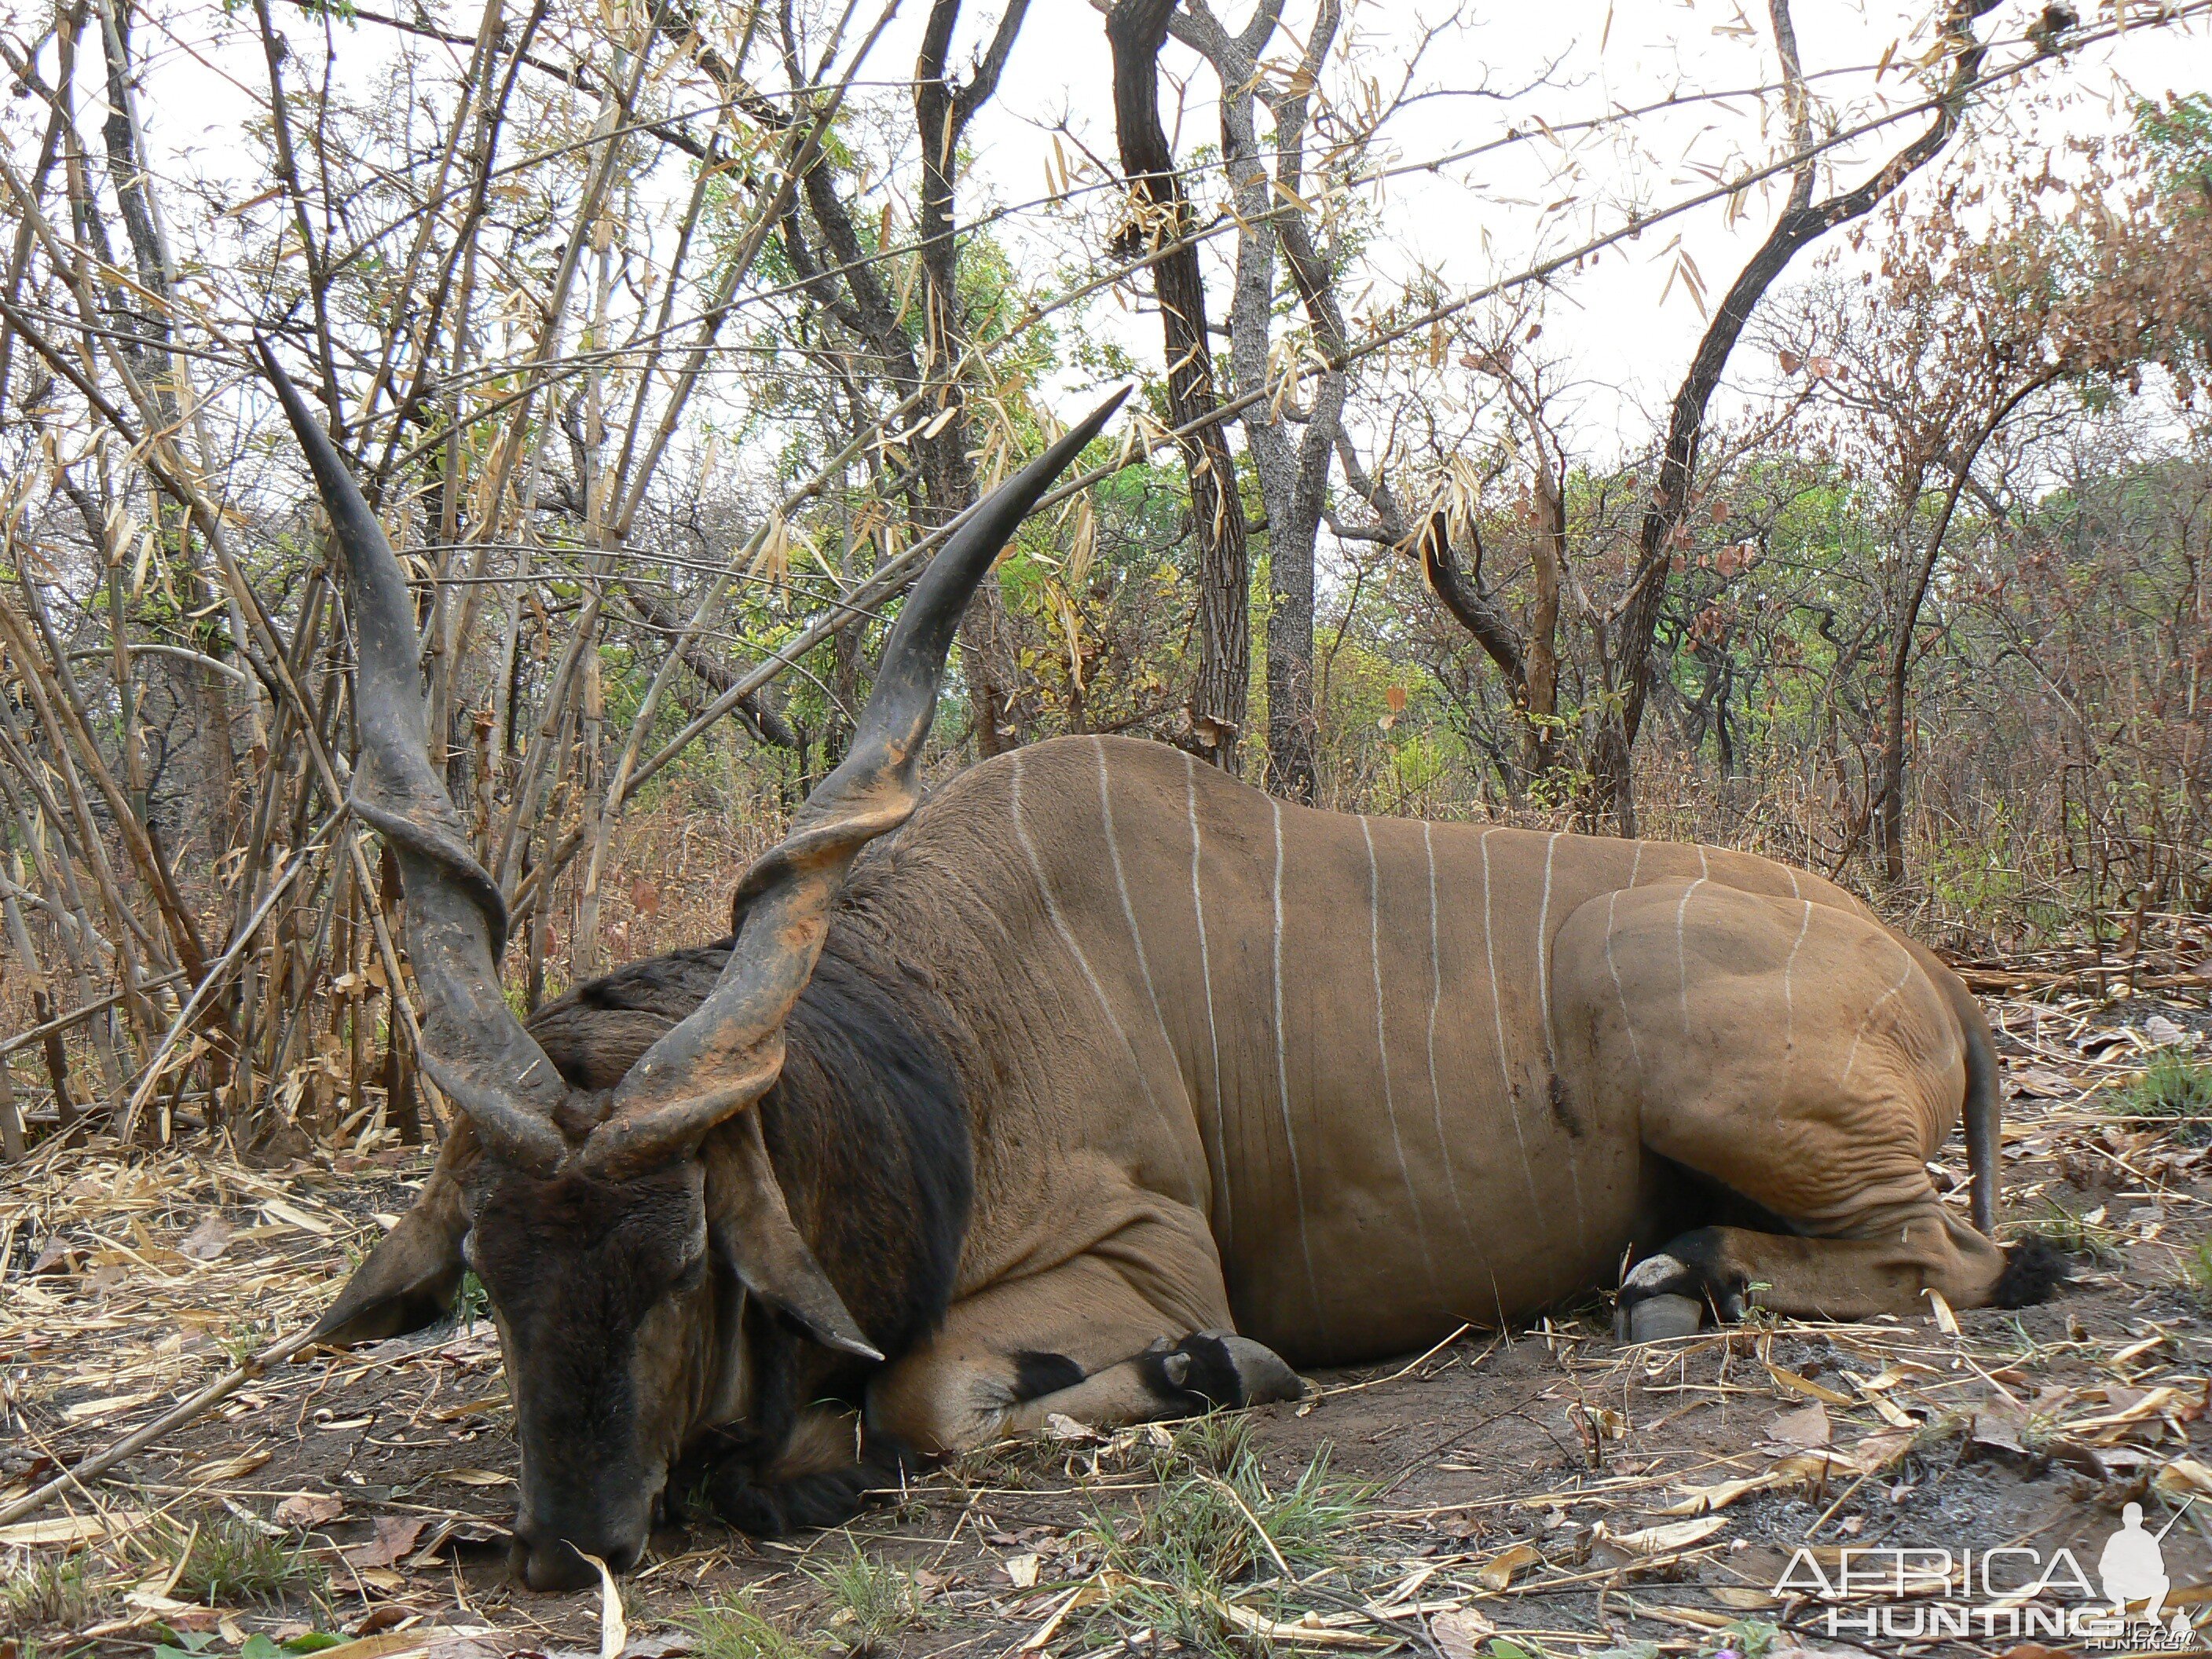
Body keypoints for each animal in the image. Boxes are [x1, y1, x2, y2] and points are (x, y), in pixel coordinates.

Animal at [267, 345, 2061, 1592]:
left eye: (687, 1259)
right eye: (492, 1272)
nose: (571, 1544)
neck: (945, 1020)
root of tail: (1925, 972)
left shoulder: (1145, 1255)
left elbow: (931, 1399)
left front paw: (1212, 1371)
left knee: (1968, 1255)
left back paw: (1689, 1277)